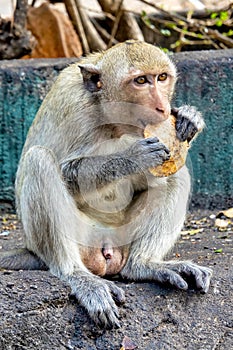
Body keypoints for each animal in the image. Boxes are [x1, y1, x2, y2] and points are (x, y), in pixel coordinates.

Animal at [0, 41, 211, 328]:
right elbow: (65, 169)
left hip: (124, 236)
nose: (162, 108)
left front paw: (190, 117)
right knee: (39, 161)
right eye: (141, 81)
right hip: (78, 240)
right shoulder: (74, 109)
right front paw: (132, 158)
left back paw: (145, 264)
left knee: (175, 175)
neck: (111, 119)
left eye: (162, 77)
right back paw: (78, 276)